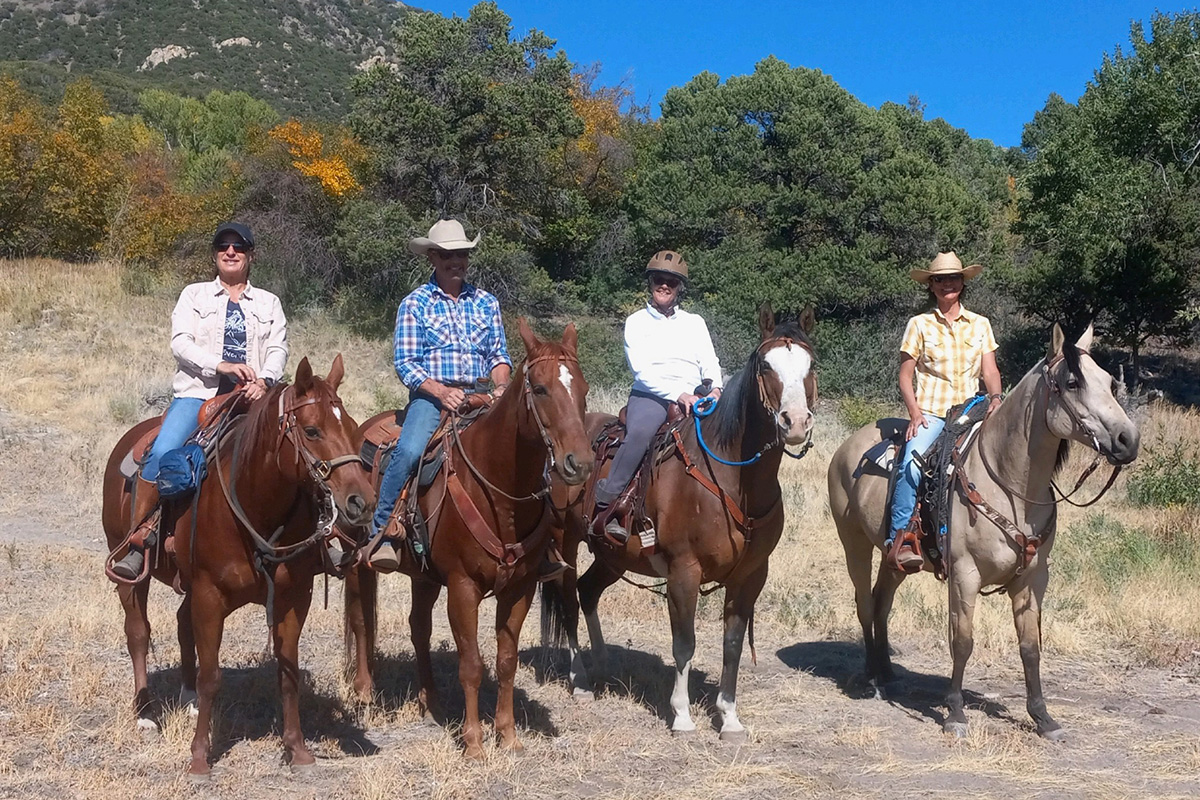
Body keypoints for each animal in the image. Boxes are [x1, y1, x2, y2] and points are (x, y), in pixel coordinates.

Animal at [103, 357, 374, 777]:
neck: (255, 505)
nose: (363, 501)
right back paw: (145, 713)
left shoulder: (294, 598)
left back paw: (188, 698)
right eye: (312, 430)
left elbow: (287, 673)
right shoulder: (210, 596)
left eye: (352, 428)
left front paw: (297, 751)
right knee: (138, 632)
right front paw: (200, 757)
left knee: (182, 625)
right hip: (132, 577)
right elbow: (212, 676)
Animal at [343, 321, 590, 762]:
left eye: (584, 389)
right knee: (359, 619)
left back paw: (431, 701)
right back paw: (365, 691)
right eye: (540, 388)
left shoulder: (520, 588)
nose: (579, 463)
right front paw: (474, 743)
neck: (499, 491)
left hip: (423, 576)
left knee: (419, 628)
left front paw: (508, 736)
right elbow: (471, 664)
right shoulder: (462, 587)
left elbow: (506, 660)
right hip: (359, 560)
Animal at [542, 303, 816, 743]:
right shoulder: (683, 572)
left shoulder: (750, 576)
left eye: (811, 364)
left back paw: (602, 663)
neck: (733, 478)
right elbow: (684, 643)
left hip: (612, 556)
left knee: (588, 591)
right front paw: (682, 716)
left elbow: (732, 643)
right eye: (765, 365)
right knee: (568, 600)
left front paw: (730, 717)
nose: (795, 422)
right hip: (564, 543)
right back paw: (580, 678)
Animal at [830, 323, 1137, 738]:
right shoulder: (964, 574)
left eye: (1108, 381)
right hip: (854, 544)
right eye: (1073, 382)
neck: (1009, 485)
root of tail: (847, 447)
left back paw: (887, 672)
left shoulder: (1033, 578)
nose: (1128, 439)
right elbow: (962, 641)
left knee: (882, 601)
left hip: (896, 559)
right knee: (864, 602)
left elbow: (1030, 647)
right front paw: (956, 714)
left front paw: (1043, 718)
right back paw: (870, 678)